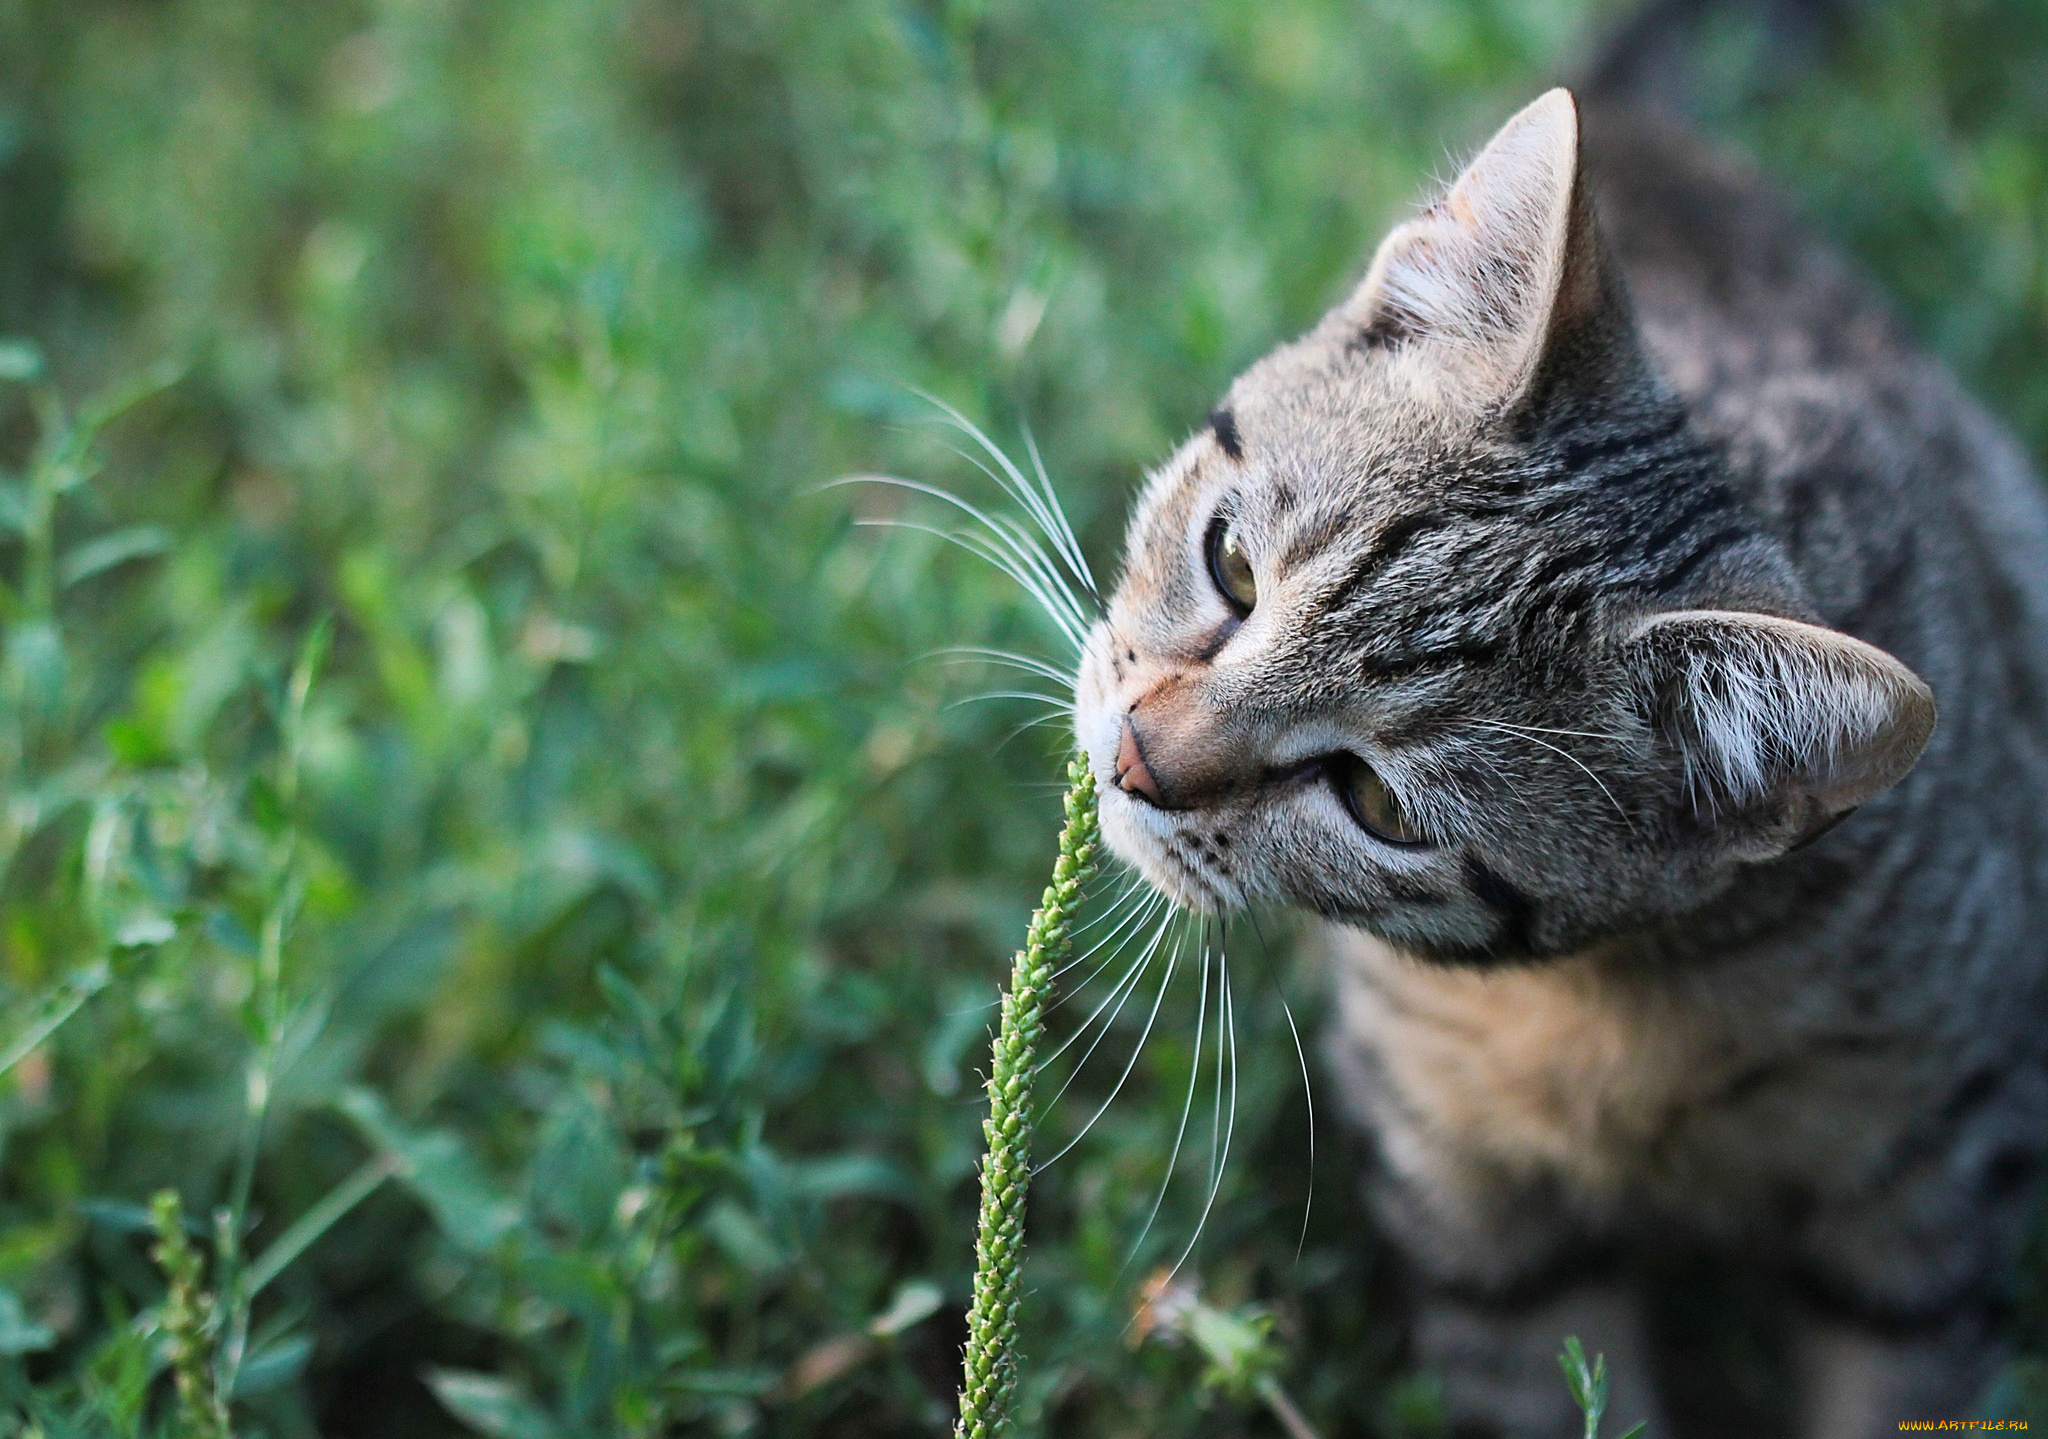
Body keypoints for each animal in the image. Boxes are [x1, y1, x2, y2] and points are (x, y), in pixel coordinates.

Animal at [1064, 81, 2048, 1439]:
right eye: (1230, 567)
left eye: (1372, 801)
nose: (1134, 761)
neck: (1621, 996)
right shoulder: (1462, 1190)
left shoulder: (1939, 1183)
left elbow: (1902, 1375)